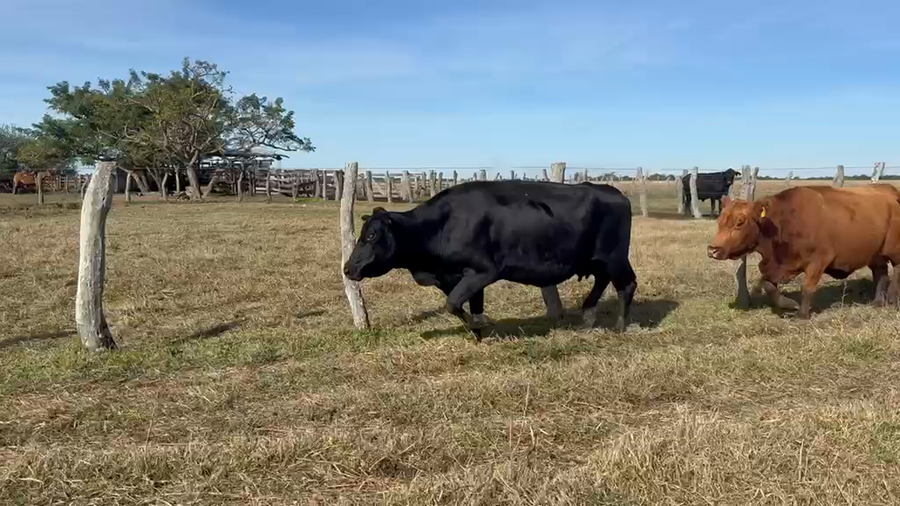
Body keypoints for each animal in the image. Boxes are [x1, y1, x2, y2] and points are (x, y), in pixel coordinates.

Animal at [342, 180, 638, 339]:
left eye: (371, 236)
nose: (347, 268)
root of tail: (614, 192)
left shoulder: (484, 271)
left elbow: (452, 303)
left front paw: (480, 326)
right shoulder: (465, 277)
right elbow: (469, 306)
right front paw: (478, 332)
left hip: (615, 256)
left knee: (627, 284)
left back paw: (620, 326)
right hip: (597, 259)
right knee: (602, 281)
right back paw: (587, 316)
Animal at [706, 183, 900, 319]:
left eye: (740, 222)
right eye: (720, 220)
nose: (713, 250)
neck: (785, 221)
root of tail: (891, 191)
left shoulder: (818, 261)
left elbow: (807, 288)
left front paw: (802, 314)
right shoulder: (777, 266)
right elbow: (769, 286)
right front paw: (790, 304)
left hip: (894, 251)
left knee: (895, 272)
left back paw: (891, 300)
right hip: (876, 255)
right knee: (881, 273)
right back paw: (877, 302)